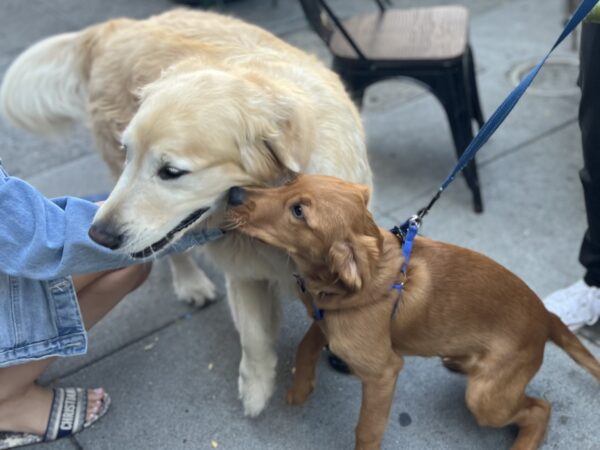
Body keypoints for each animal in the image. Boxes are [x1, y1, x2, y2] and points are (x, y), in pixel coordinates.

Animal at [0, 8, 372, 416]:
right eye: (130, 152)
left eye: (172, 172)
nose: (97, 235)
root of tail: (120, 25)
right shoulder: (244, 272)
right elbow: (254, 337)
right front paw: (255, 389)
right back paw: (191, 283)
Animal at [225, 175, 600, 450]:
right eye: (292, 180)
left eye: (299, 212)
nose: (233, 193)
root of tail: (546, 317)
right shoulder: (327, 318)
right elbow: (307, 344)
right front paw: (301, 387)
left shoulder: (383, 372)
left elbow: (366, 430)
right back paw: (460, 360)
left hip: (484, 399)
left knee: (539, 409)